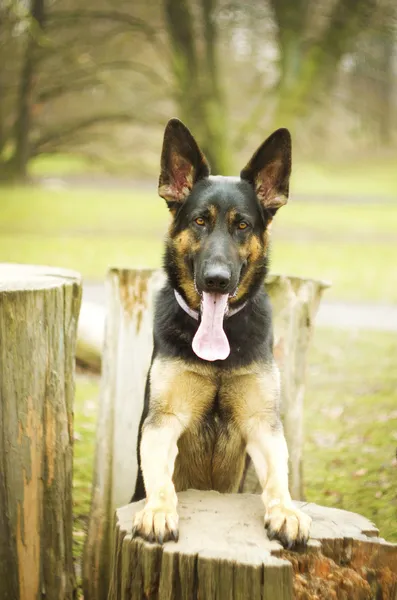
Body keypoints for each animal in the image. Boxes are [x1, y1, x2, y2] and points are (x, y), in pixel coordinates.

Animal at [131, 117, 310, 548]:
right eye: (200, 221)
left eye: (242, 225)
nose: (216, 280)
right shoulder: (163, 422)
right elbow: (160, 478)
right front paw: (158, 511)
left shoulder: (262, 425)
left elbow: (278, 480)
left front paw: (286, 512)